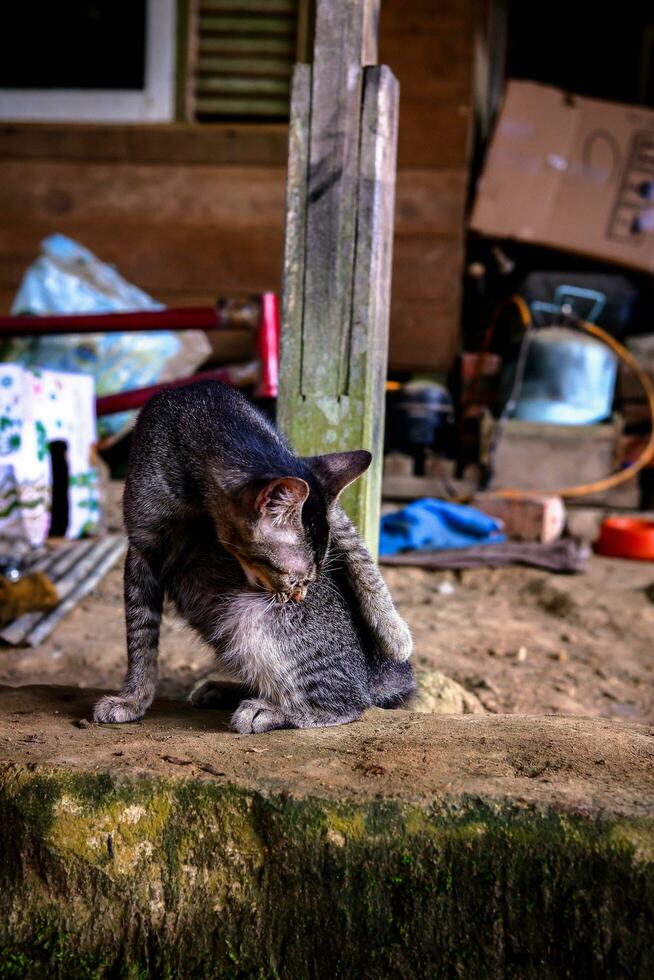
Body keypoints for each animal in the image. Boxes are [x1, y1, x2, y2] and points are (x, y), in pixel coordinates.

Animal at [93, 378, 416, 732]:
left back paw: (270, 710)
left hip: (251, 620)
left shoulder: (325, 502)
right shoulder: (142, 549)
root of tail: (372, 679)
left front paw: (393, 631)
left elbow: (360, 556)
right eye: (294, 578)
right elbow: (141, 639)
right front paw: (133, 698)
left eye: (310, 579)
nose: (298, 597)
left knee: (350, 703)